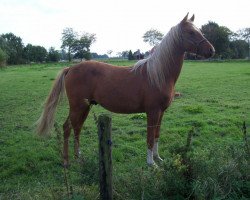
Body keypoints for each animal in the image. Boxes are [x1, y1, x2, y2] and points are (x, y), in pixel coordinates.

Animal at [36, 13, 215, 166]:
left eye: (199, 31)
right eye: (191, 32)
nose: (211, 50)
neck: (158, 74)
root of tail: (70, 68)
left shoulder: (162, 112)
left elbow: (157, 135)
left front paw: (158, 158)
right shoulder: (153, 111)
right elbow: (150, 137)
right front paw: (151, 164)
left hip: (85, 106)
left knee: (77, 128)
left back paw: (78, 157)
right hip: (77, 106)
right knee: (68, 127)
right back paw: (66, 161)